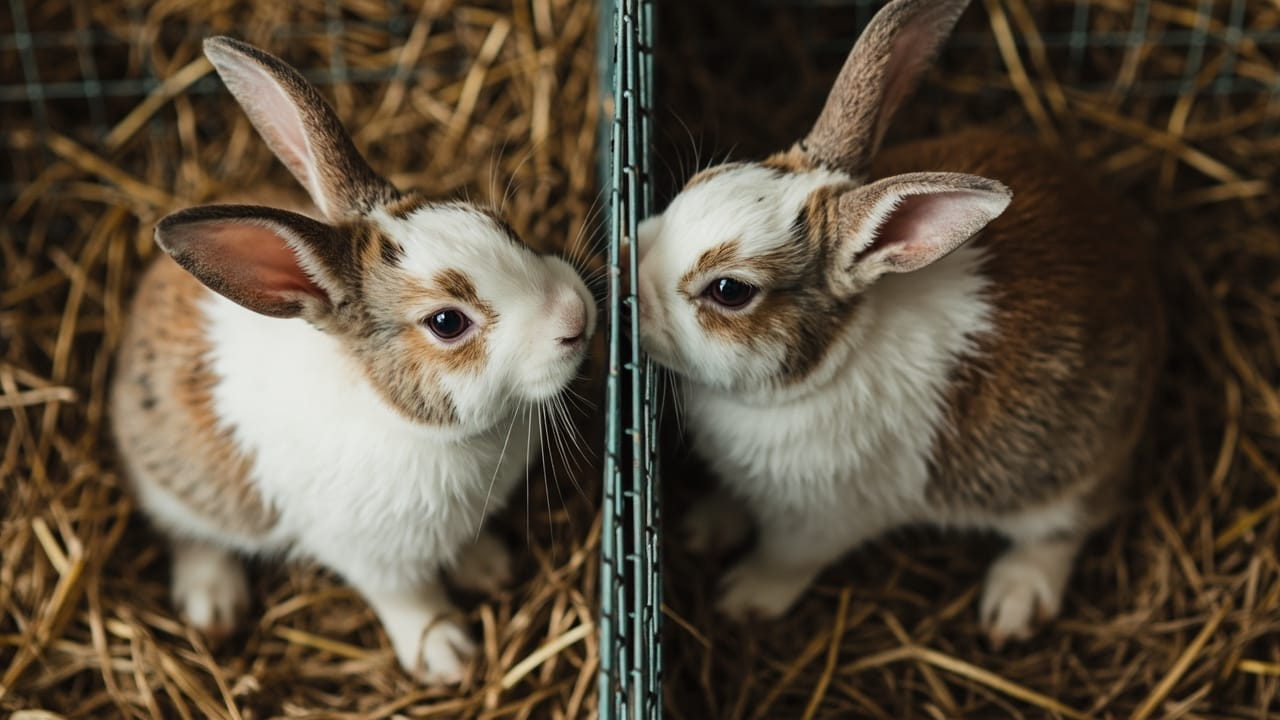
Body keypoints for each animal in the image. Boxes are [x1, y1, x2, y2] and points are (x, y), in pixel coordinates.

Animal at [109, 36, 597, 684]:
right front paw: (446, 656)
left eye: (495, 223)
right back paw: (213, 602)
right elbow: (409, 600)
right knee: (189, 532)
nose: (577, 314)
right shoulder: (373, 559)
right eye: (447, 323)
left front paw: (489, 568)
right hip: (175, 484)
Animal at [635, 0, 1163, 648]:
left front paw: (742, 600)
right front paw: (704, 528)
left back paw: (1014, 603)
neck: (821, 371)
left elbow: (784, 560)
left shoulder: (821, 521)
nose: (628, 278)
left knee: (1066, 528)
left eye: (730, 291)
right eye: (696, 185)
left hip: (1060, 479)